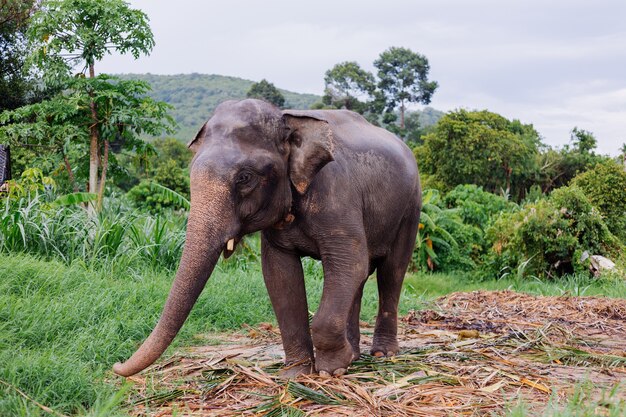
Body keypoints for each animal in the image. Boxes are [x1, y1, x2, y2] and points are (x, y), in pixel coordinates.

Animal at [112, 98, 420, 376]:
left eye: (245, 178)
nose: (116, 366)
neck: (287, 118)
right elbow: (280, 275)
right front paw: (296, 375)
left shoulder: (337, 196)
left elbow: (349, 262)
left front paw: (330, 371)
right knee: (360, 280)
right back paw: (355, 356)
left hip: (411, 208)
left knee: (391, 272)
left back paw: (382, 354)